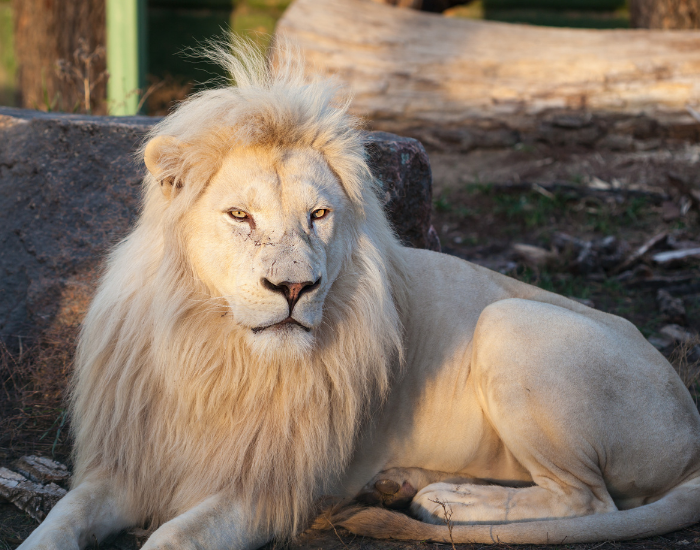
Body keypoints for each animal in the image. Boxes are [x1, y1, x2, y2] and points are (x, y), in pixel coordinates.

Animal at [18, 41, 700, 550]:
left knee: (587, 499)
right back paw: (401, 484)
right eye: (240, 216)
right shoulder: (128, 464)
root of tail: (692, 425)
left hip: (511, 321)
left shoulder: (270, 492)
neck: (215, 353)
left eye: (318, 215)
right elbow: (59, 520)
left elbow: (171, 538)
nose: (294, 287)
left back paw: (450, 501)